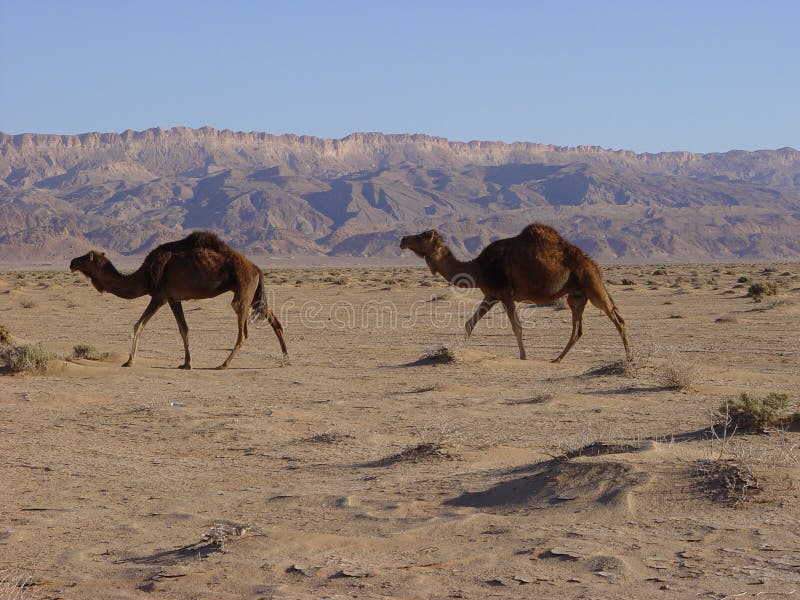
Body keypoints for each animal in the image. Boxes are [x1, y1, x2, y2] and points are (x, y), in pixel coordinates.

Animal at [69, 231, 288, 368]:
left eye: (86, 257)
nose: (71, 262)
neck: (145, 275)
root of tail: (257, 269)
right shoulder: (174, 299)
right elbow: (184, 329)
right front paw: (186, 363)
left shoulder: (159, 296)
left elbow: (138, 325)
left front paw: (129, 361)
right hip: (253, 294)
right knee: (272, 319)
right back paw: (285, 360)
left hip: (242, 292)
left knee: (243, 332)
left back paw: (224, 364)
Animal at [400, 225, 632, 364]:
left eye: (421, 236)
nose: (403, 239)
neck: (477, 268)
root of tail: (594, 265)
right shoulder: (491, 295)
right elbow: (469, 323)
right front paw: (460, 349)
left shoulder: (504, 293)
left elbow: (516, 326)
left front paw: (523, 356)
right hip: (576, 295)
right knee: (578, 329)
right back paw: (557, 359)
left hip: (592, 287)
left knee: (617, 318)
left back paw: (629, 357)